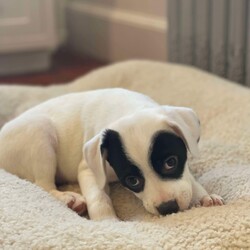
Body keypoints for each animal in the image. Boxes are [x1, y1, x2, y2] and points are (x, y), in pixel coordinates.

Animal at [0, 88, 224, 221]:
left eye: (171, 162)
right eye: (132, 181)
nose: (168, 208)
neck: (128, 109)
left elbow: (188, 180)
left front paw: (204, 197)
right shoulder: (89, 169)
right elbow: (98, 196)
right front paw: (107, 222)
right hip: (40, 132)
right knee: (42, 185)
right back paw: (67, 198)